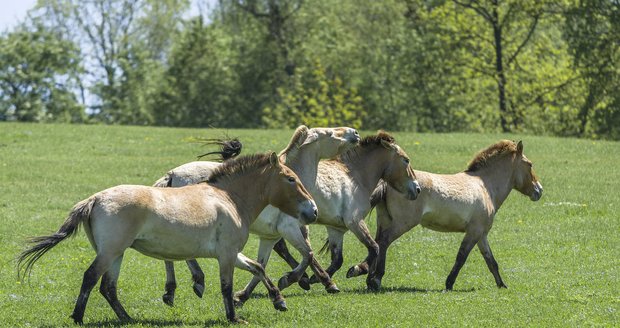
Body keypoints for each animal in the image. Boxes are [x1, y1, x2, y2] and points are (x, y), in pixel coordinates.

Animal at [18, 152, 320, 324]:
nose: (313, 210)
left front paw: (278, 300)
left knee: (108, 287)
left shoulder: (231, 253)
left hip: (116, 254)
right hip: (110, 252)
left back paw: (127, 318)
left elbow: (258, 268)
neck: (229, 198)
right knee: (91, 278)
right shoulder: (226, 255)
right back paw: (79, 318)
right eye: (291, 179)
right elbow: (226, 286)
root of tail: (95, 198)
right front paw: (233, 316)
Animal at [154, 125, 360, 304]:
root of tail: (171, 174)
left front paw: (243, 296)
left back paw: (173, 290)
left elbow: (264, 263)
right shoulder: (289, 228)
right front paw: (303, 280)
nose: (355, 133)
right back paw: (196, 281)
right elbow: (308, 255)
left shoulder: (272, 235)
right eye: (331, 133)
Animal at [264, 131, 424, 292]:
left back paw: (309, 279)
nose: (417, 189)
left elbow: (338, 259)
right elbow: (374, 248)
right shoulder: (354, 221)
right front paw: (358, 269)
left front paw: (316, 278)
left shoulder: (337, 229)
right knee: (293, 249)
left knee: (285, 247)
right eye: (406, 160)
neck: (354, 176)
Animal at [348, 140, 544, 290]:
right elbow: (461, 257)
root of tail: (387, 183)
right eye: (530, 164)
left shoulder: (481, 234)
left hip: (385, 221)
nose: (539, 190)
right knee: (383, 242)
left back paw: (365, 275)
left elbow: (491, 261)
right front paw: (449, 284)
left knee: (376, 242)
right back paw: (374, 278)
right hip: (402, 224)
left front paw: (501, 285)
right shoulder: (474, 232)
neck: (485, 185)